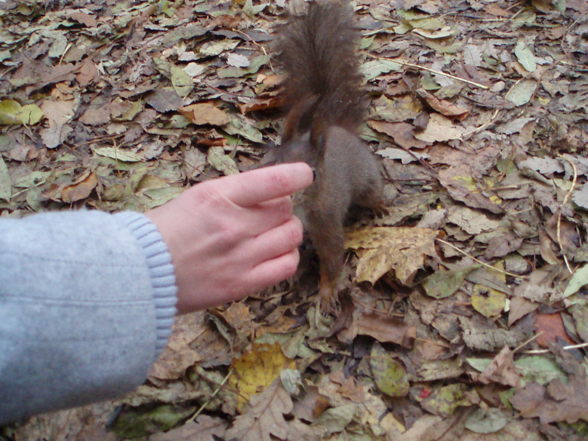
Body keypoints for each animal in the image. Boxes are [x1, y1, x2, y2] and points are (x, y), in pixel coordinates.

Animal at [274, 0, 384, 312]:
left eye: (312, 174)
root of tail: (338, 128)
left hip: (366, 182)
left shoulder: (327, 221)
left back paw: (381, 208)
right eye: (269, 162)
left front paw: (326, 294)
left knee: (375, 194)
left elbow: (332, 259)